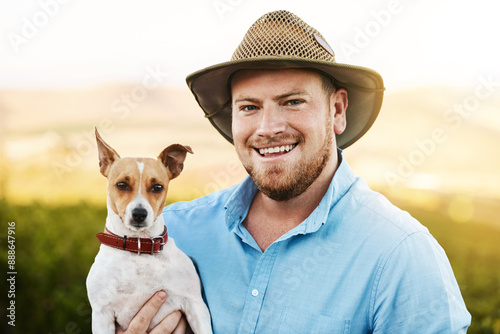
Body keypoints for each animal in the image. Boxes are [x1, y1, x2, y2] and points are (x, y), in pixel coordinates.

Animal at [87, 129, 212, 332]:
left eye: (157, 187)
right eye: (122, 185)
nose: (139, 213)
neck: (139, 245)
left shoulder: (195, 305)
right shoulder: (102, 315)